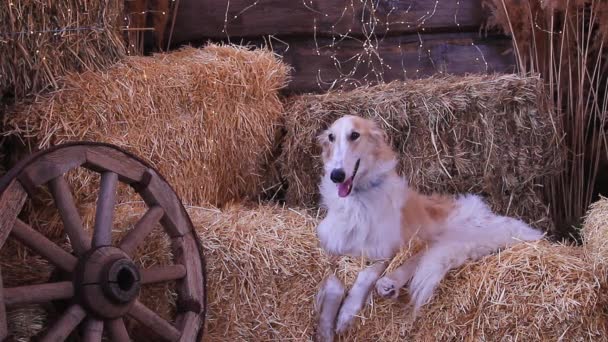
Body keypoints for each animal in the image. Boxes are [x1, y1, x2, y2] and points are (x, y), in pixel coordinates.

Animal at [314, 116, 540, 340]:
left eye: (354, 135)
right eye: (331, 137)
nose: (336, 175)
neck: (357, 198)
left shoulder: (386, 251)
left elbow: (365, 275)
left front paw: (346, 313)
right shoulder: (329, 250)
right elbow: (334, 283)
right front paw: (325, 329)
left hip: (456, 236)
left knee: (424, 255)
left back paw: (388, 283)